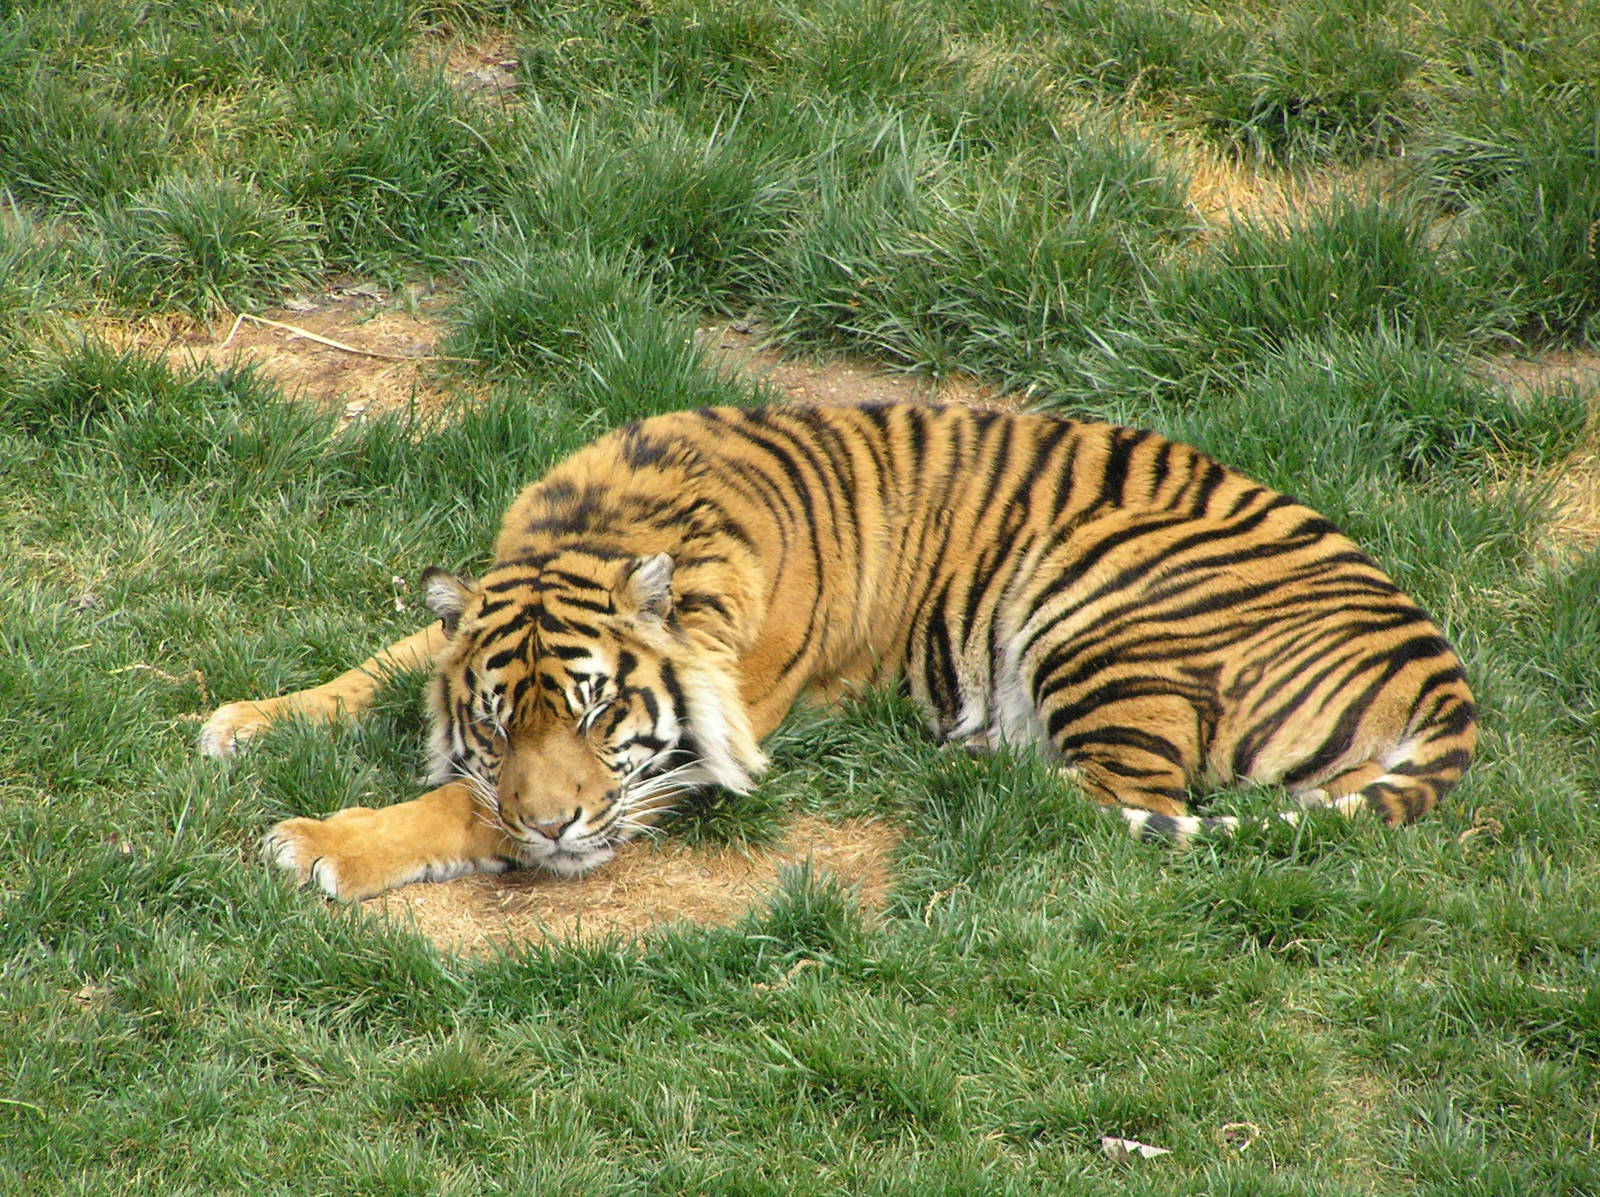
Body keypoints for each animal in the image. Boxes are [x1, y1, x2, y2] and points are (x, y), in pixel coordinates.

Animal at [200, 402, 1476, 901]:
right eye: (500, 720)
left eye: (601, 715)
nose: (556, 828)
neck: (609, 526)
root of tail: (1439, 666)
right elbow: (388, 658)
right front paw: (247, 719)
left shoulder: (678, 766)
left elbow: (464, 810)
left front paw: (320, 841)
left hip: (1095, 603)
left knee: (1121, 803)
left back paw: (966, 774)